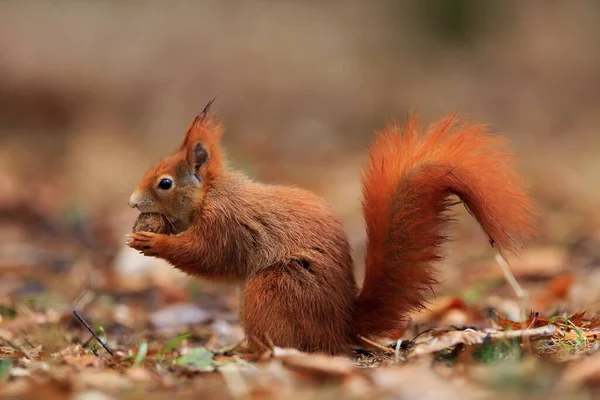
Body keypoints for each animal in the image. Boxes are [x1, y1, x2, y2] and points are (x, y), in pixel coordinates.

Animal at [125, 102, 536, 354]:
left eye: (165, 183)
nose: (131, 202)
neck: (211, 193)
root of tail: (341, 328)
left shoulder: (225, 222)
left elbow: (207, 256)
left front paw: (151, 241)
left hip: (273, 289)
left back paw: (255, 352)